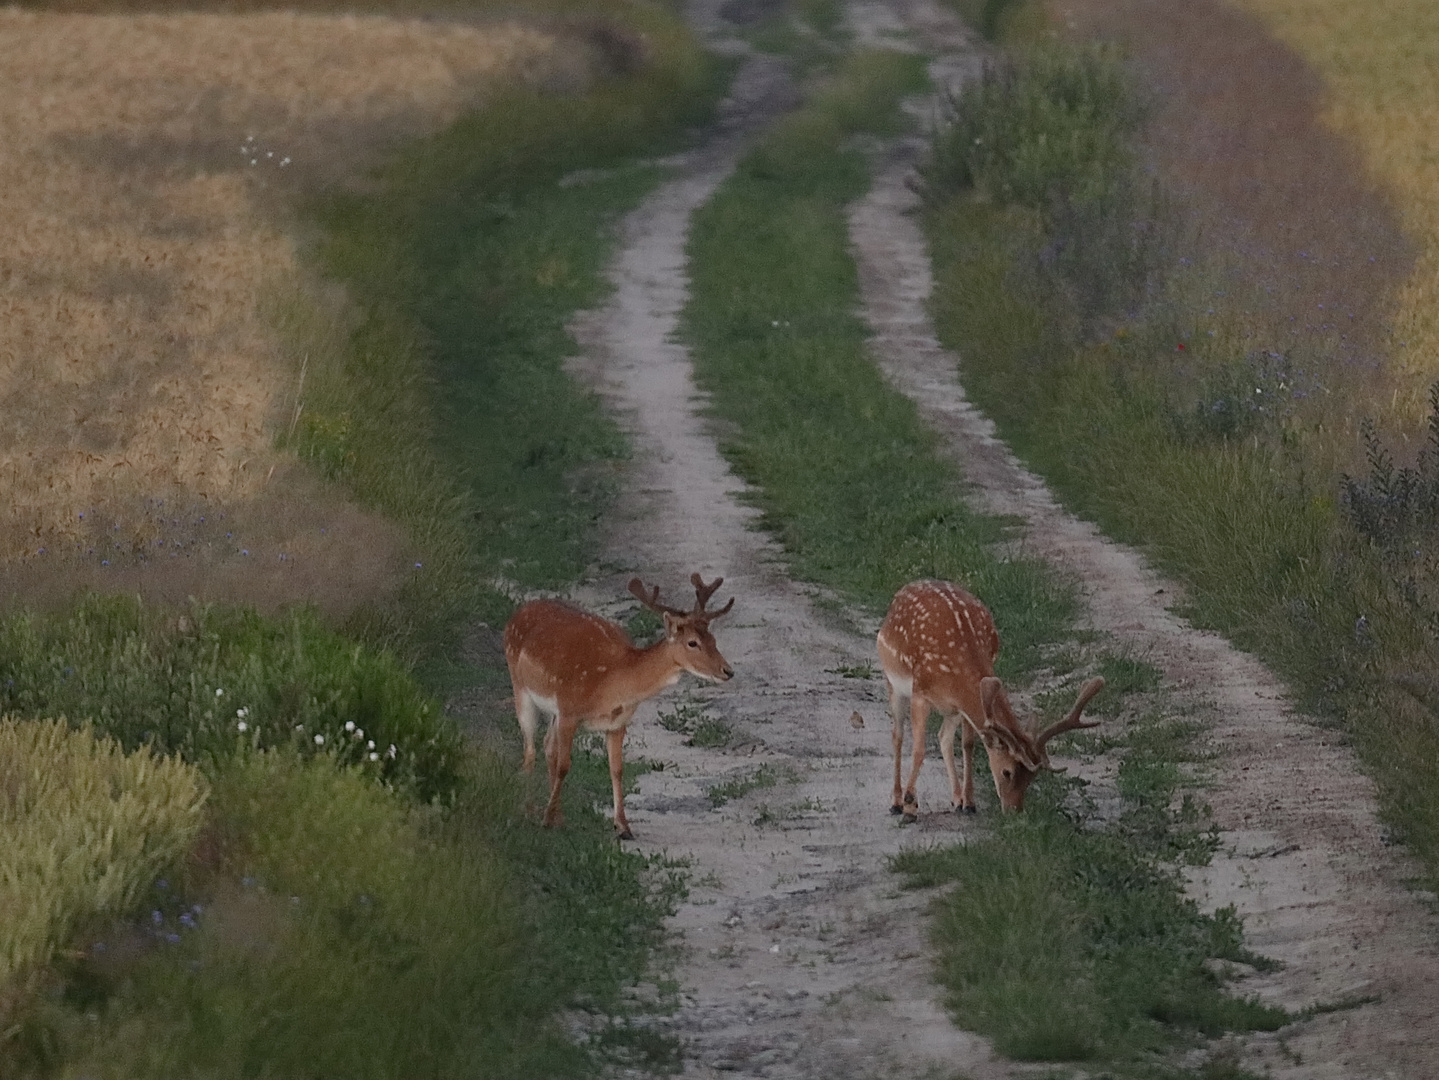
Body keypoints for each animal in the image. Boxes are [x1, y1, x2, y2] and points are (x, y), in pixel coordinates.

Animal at [503, 575, 731, 834]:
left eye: (713, 639)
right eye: (693, 643)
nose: (728, 671)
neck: (612, 684)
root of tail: (518, 612)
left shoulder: (618, 722)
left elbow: (617, 769)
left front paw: (623, 826)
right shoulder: (569, 709)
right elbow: (564, 765)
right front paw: (547, 818)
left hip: (553, 711)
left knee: (547, 745)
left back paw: (558, 815)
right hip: (519, 683)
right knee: (530, 750)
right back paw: (530, 811)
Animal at [874, 583, 1099, 816]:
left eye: (1031, 778)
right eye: (1007, 772)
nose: (1014, 810)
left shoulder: (962, 703)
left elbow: (968, 744)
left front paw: (969, 803)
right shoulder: (920, 692)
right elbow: (919, 750)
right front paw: (910, 805)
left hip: (950, 709)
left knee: (944, 737)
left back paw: (956, 798)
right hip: (892, 681)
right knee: (898, 736)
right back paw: (896, 802)